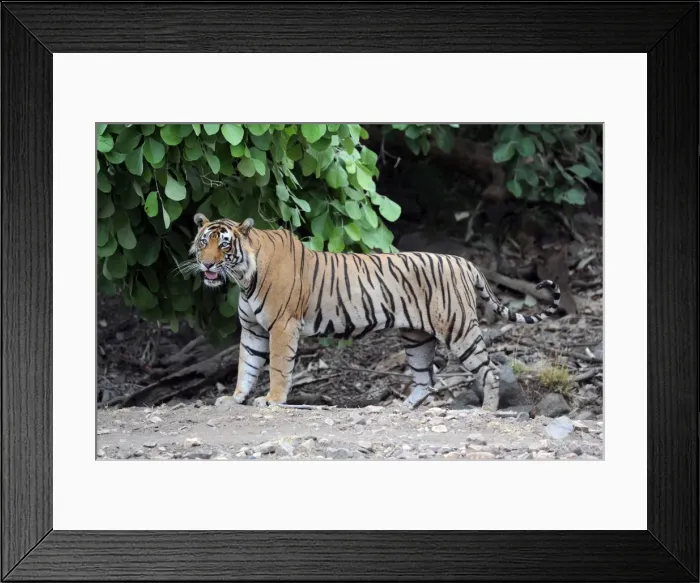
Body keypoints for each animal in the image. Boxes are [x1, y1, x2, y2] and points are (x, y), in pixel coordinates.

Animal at [185, 213, 561, 411]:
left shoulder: (282, 326)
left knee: (490, 371)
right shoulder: (252, 330)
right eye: (204, 242)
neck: (243, 277)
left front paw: (272, 400)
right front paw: (235, 399)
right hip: (416, 338)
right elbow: (245, 367)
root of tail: (465, 262)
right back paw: (401, 408)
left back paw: (486, 411)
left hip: (459, 330)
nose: (207, 265)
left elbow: (277, 367)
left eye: (225, 246)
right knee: (426, 379)